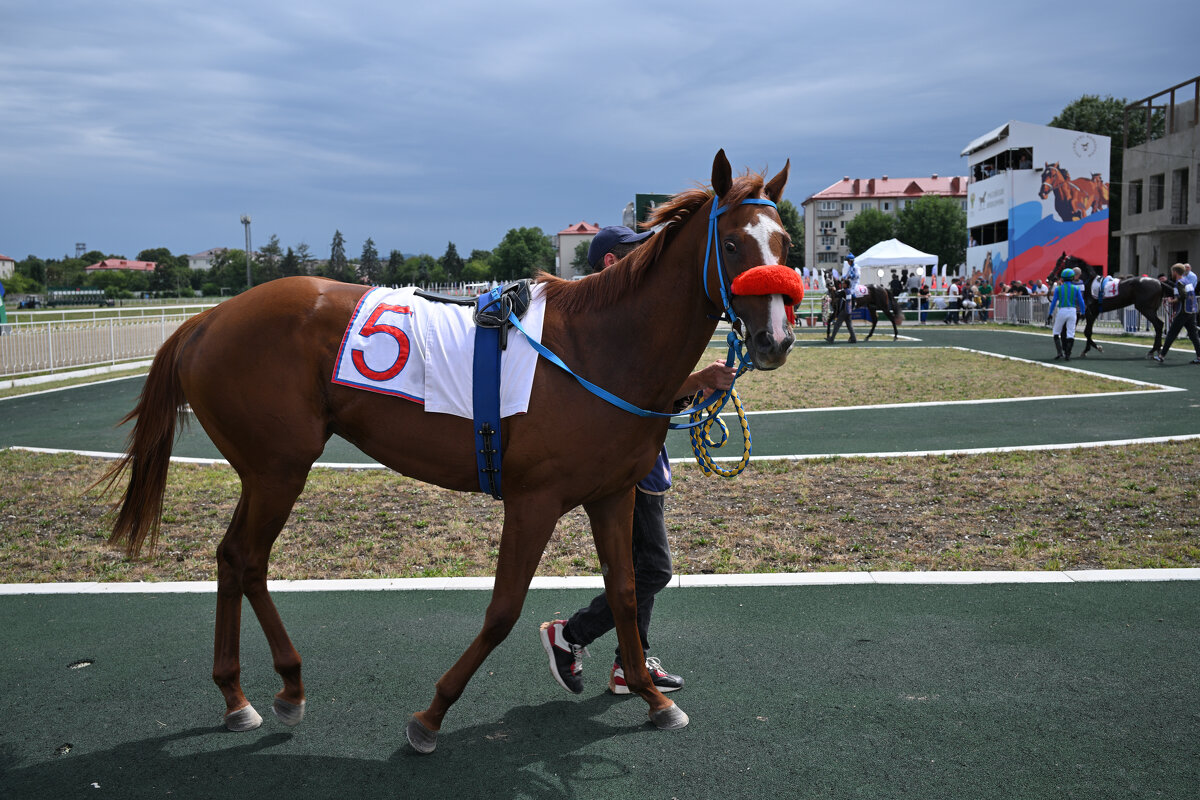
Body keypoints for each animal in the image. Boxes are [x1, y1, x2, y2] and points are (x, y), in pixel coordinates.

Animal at [100, 151, 796, 758]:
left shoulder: (613, 493)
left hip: (263, 470)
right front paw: (431, 715)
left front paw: (652, 696)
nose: (775, 339)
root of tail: (206, 320)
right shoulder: (534, 500)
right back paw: (286, 687)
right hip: (279, 468)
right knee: (247, 559)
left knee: (229, 556)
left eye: (786, 244)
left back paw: (236, 695)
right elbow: (503, 610)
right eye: (732, 244)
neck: (597, 350)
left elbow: (625, 594)